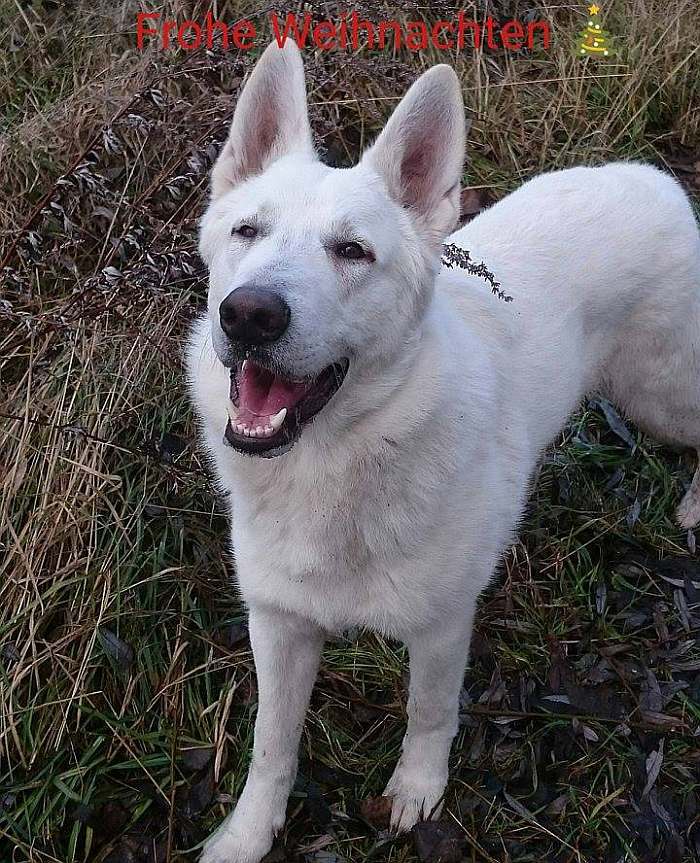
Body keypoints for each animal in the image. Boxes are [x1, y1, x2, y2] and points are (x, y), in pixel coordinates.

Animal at [186, 38, 700, 856]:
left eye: (353, 251)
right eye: (246, 232)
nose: (249, 314)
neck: (334, 466)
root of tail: (658, 179)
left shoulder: (439, 627)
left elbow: (429, 715)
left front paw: (417, 792)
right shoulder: (280, 625)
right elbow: (272, 744)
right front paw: (248, 832)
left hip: (660, 398)